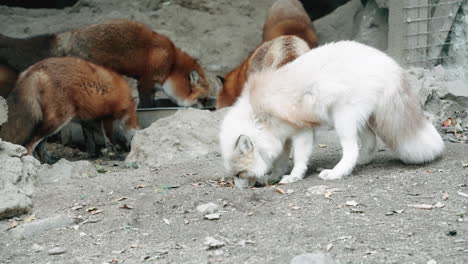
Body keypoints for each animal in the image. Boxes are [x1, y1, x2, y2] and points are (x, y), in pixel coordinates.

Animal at [0, 18, 208, 108]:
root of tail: (68, 35)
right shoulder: (146, 81)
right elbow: (146, 104)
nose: (209, 109)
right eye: (203, 99)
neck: (172, 63)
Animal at [0, 57, 138, 163]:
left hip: (52, 122)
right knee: (30, 144)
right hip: (59, 119)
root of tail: (35, 68)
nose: (129, 148)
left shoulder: (88, 119)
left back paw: (47, 160)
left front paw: (93, 154)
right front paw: (115, 155)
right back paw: (34, 162)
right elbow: (109, 140)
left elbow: (90, 140)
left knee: (40, 145)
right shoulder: (107, 117)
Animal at [221, 40, 444, 187]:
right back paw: (361, 162)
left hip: (343, 120)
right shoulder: (281, 137)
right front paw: (276, 176)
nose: (241, 190)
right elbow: (280, 160)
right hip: (358, 121)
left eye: (240, 174)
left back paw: (338, 172)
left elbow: (299, 159)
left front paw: (294, 176)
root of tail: (391, 65)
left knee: (352, 149)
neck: (258, 114)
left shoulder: (302, 130)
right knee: (370, 142)